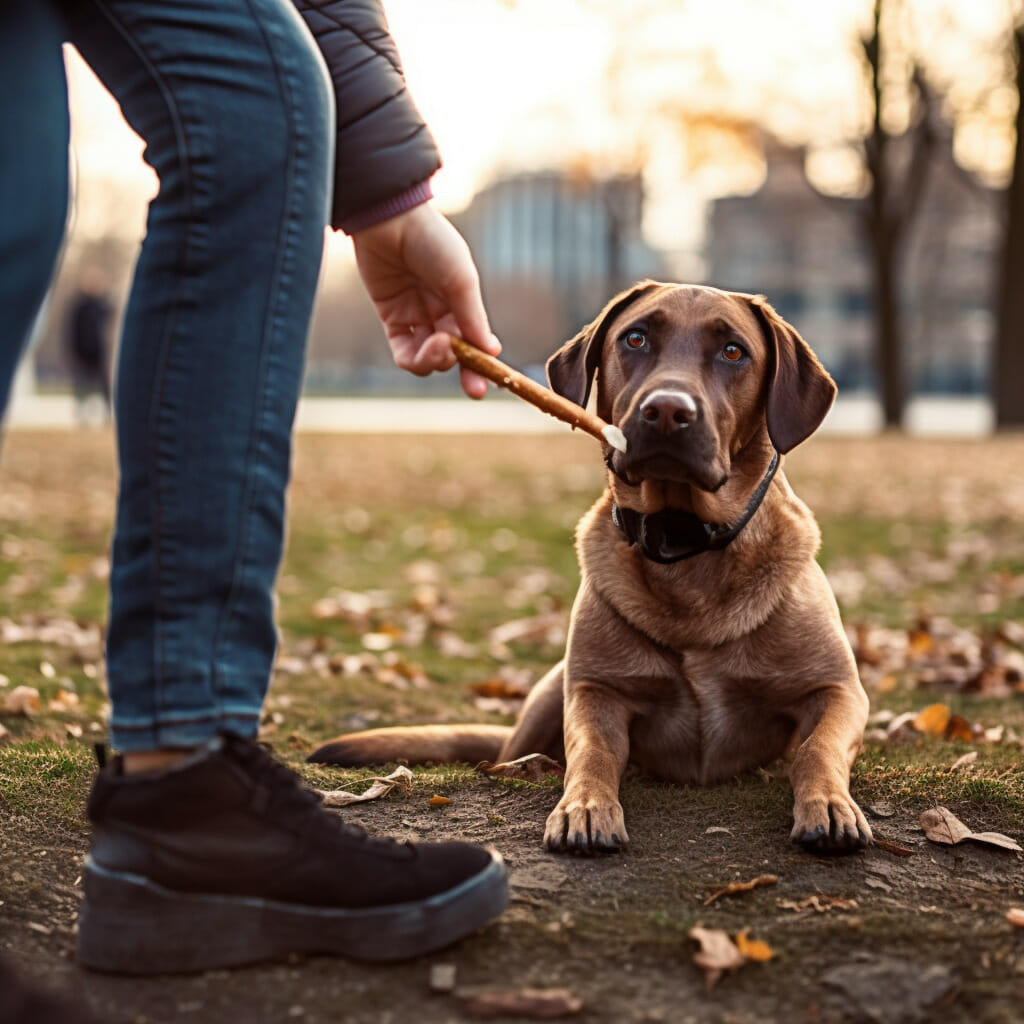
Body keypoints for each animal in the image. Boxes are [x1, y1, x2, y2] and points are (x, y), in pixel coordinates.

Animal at [311, 280, 872, 856]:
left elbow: (817, 748)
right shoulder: (592, 691)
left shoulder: (840, 691)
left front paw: (828, 804)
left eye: (734, 351)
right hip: (551, 688)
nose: (666, 411)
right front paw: (584, 806)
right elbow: (594, 750)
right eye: (636, 338)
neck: (683, 546)